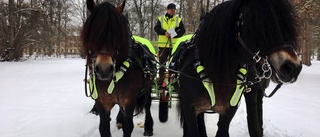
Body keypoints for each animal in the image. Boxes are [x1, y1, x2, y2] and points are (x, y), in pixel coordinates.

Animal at [80, 0, 156, 136]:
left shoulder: (130, 100)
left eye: (117, 34)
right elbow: (104, 127)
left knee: (147, 105)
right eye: (92, 33)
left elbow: (128, 126)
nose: (104, 70)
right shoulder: (102, 102)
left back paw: (148, 126)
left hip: (147, 88)